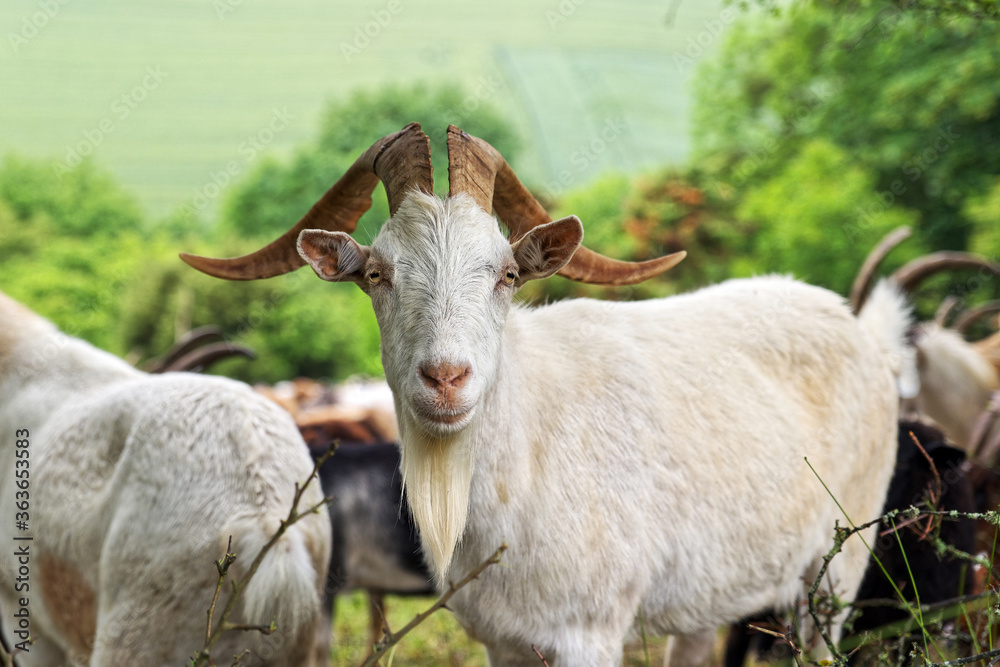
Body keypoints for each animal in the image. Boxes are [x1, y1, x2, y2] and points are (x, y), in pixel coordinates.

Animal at [184, 125, 912, 667]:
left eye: (506, 273)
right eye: (376, 274)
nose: (445, 379)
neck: (523, 460)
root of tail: (860, 326)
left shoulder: (589, 632)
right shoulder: (504, 639)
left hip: (839, 565)